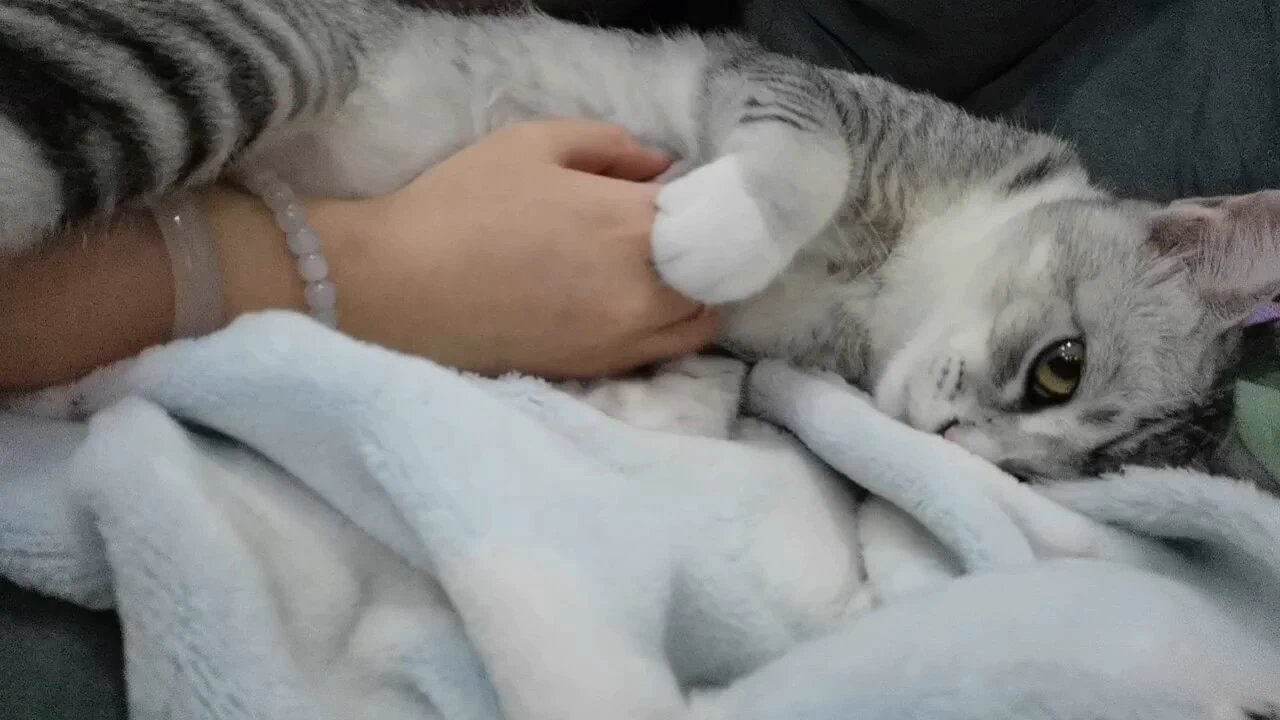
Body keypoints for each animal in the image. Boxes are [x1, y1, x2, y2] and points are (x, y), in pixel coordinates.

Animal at [0, 1, 1278, 484]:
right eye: (1059, 365)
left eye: (1034, 475)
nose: (959, 440)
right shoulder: (795, 85)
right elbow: (804, 152)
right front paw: (717, 229)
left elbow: (707, 389)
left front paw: (638, 414)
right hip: (231, 63)